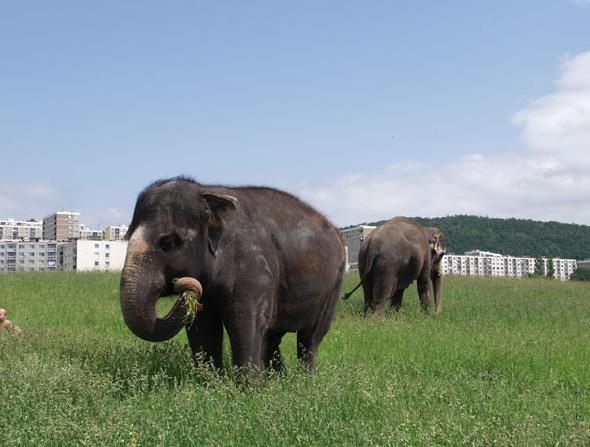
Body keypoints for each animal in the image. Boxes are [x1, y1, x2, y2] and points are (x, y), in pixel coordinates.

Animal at [119, 178, 346, 372]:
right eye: (127, 237)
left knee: (310, 337)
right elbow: (203, 328)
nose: (186, 284)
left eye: (168, 243)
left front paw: (248, 389)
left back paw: (303, 379)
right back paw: (279, 379)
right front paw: (211, 384)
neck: (206, 191)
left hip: (333, 286)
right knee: (273, 336)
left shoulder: (254, 269)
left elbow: (244, 322)